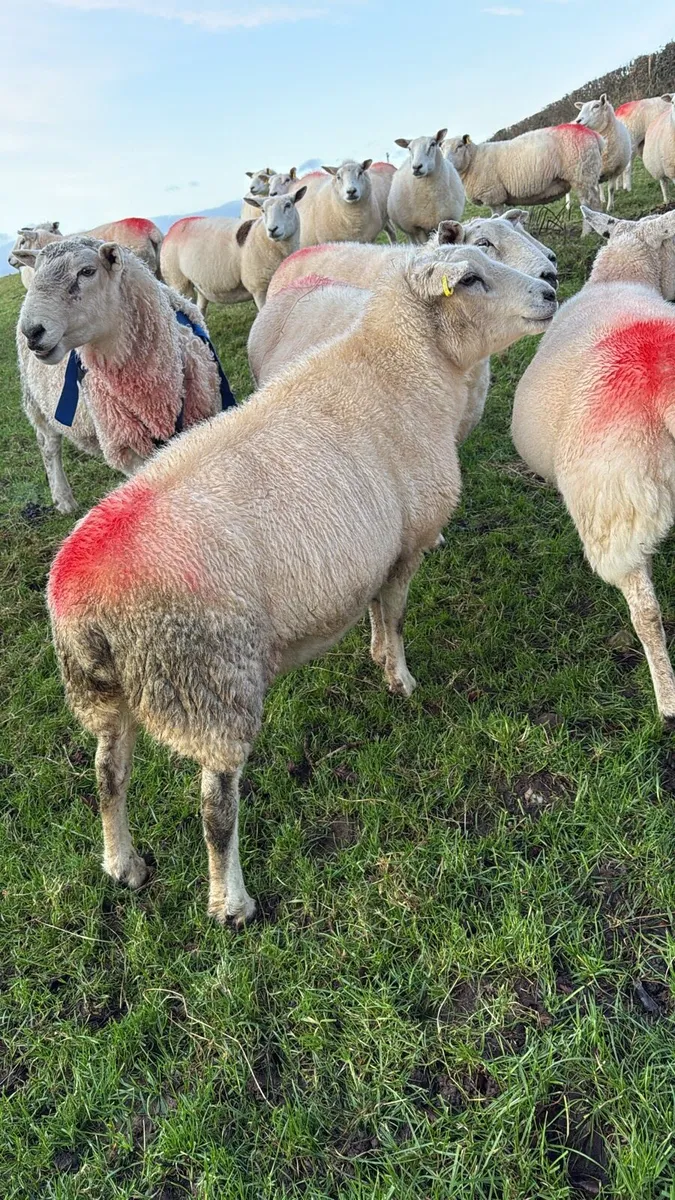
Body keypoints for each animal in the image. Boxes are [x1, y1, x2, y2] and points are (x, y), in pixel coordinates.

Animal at [12, 237, 231, 514]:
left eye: (87, 271)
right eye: (37, 273)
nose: (32, 332)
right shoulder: (126, 447)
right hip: (36, 404)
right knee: (48, 445)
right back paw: (64, 499)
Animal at [46, 242, 557, 924]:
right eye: (471, 279)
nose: (550, 293)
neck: (407, 366)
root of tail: (84, 596)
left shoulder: (378, 551)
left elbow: (377, 611)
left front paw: (377, 656)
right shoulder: (407, 542)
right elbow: (395, 615)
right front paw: (399, 678)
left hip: (103, 693)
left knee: (108, 776)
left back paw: (122, 864)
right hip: (214, 681)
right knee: (215, 808)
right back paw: (230, 903)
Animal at [160, 189, 307, 314]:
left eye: (288, 205)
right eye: (263, 210)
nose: (272, 229)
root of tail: (174, 227)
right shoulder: (258, 288)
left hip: (200, 285)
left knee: (200, 310)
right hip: (178, 282)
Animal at [443, 126, 604, 227]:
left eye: (459, 146)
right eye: (441, 149)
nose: (447, 163)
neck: (473, 160)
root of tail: (595, 136)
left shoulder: (494, 196)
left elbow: (498, 216)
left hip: (580, 174)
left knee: (589, 204)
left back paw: (586, 234)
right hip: (587, 174)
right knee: (594, 204)